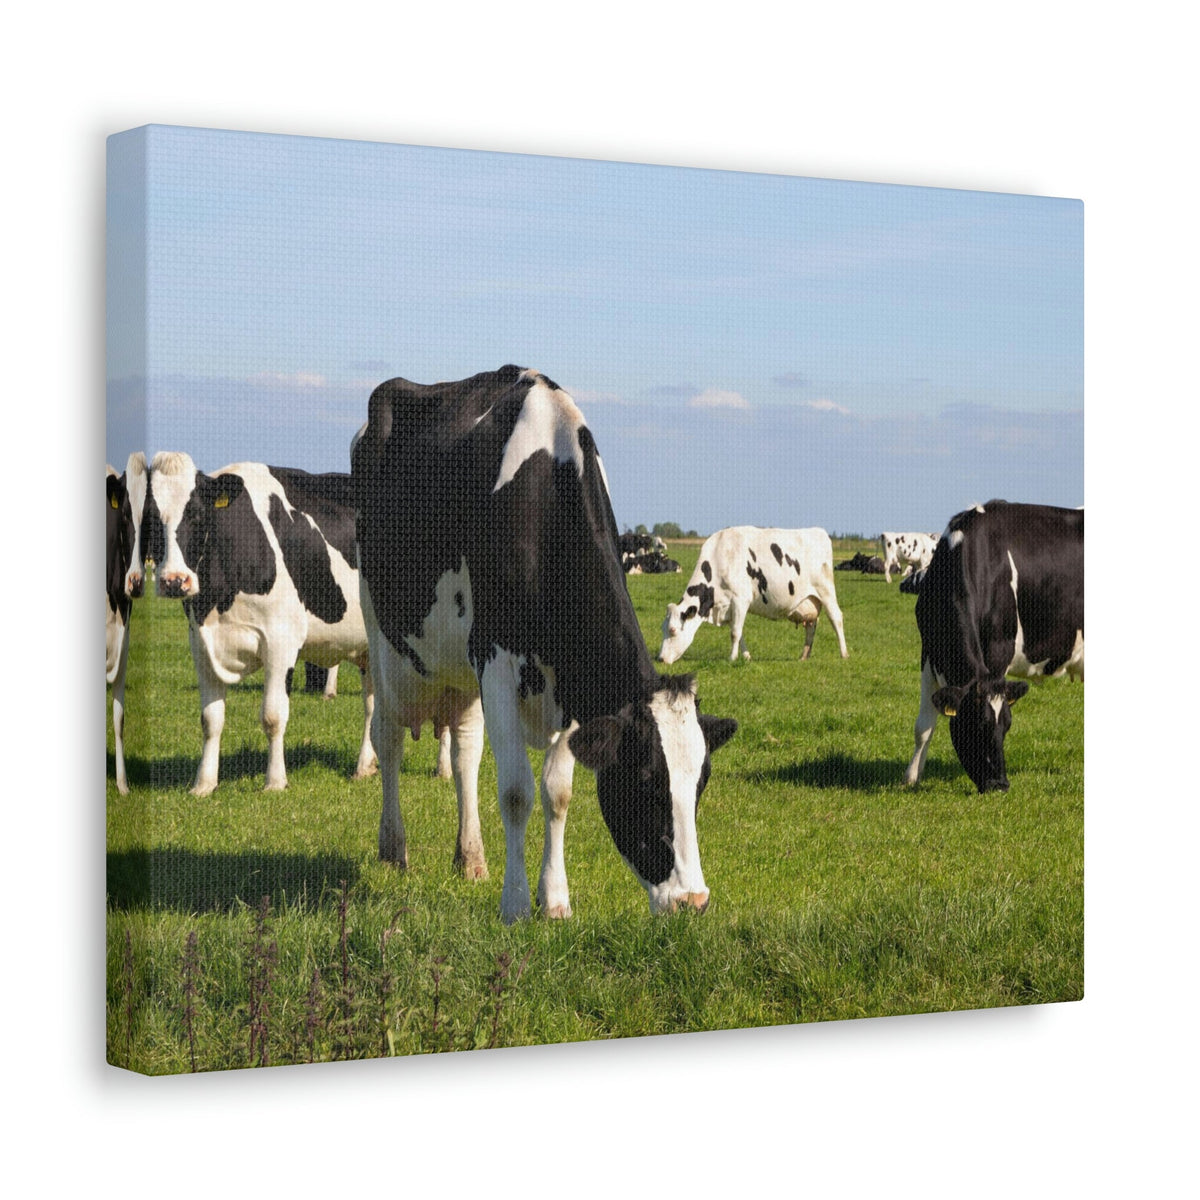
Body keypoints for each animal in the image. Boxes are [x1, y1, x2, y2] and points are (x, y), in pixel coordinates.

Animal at [144, 452, 377, 794]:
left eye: (197, 515)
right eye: (149, 519)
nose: (174, 581)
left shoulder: (281, 641)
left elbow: (273, 715)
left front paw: (275, 782)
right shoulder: (201, 644)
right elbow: (210, 719)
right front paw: (203, 785)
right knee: (374, 704)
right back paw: (365, 766)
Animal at [352, 365, 737, 923]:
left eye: (701, 782)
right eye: (644, 778)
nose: (693, 901)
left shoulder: (573, 680)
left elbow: (558, 792)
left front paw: (554, 900)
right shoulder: (495, 657)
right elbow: (516, 791)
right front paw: (514, 906)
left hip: (460, 670)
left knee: (465, 754)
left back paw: (470, 858)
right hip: (382, 636)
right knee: (388, 737)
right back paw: (393, 848)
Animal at [658, 526, 848, 664]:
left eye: (673, 630)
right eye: (663, 629)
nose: (660, 659)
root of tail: (818, 531)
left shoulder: (740, 599)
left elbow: (735, 632)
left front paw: (732, 659)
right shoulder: (730, 606)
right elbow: (739, 632)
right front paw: (746, 656)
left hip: (826, 591)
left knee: (836, 618)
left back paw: (844, 654)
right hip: (810, 601)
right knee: (811, 624)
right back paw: (804, 656)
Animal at [903, 501, 1084, 793]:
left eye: (1007, 726)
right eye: (976, 725)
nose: (1000, 784)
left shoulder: (1000, 650)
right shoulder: (929, 651)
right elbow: (924, 726)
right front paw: (911, 777)